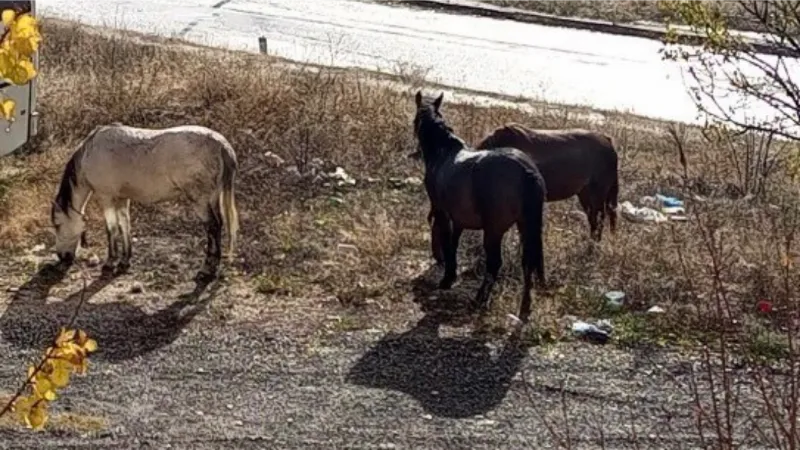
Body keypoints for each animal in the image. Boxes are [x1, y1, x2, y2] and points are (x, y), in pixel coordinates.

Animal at [51, 123, 239, 282]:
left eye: (58, 225)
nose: (62, 256)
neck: (90, 151)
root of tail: (222, 145)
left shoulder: (107, 197)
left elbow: (111, 229)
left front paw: (110, 262)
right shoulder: (121, 198)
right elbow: (125, 225)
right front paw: (124, 261)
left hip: (200, 200)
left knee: (212, 227)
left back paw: (206, 270)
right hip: (212, 198)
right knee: (218, 224)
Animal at [410, 91, 548, 324]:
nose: (415, 153)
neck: (444, 153)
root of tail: (525, 169)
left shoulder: (442, 213)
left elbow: (446, 242)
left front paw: (447, 279)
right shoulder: (458, 219)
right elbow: (454, 243)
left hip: (494, 230)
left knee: (494, 263)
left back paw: (480, 298)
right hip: (525, 227)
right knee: (528, 262)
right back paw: (524, 307)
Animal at [428, 122, 620, 264]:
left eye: (439, 225)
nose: (439, 258)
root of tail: (609, 141)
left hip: (597, 193)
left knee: (599, 221)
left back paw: (591, 251)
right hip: (585, 194)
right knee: (595, 222)